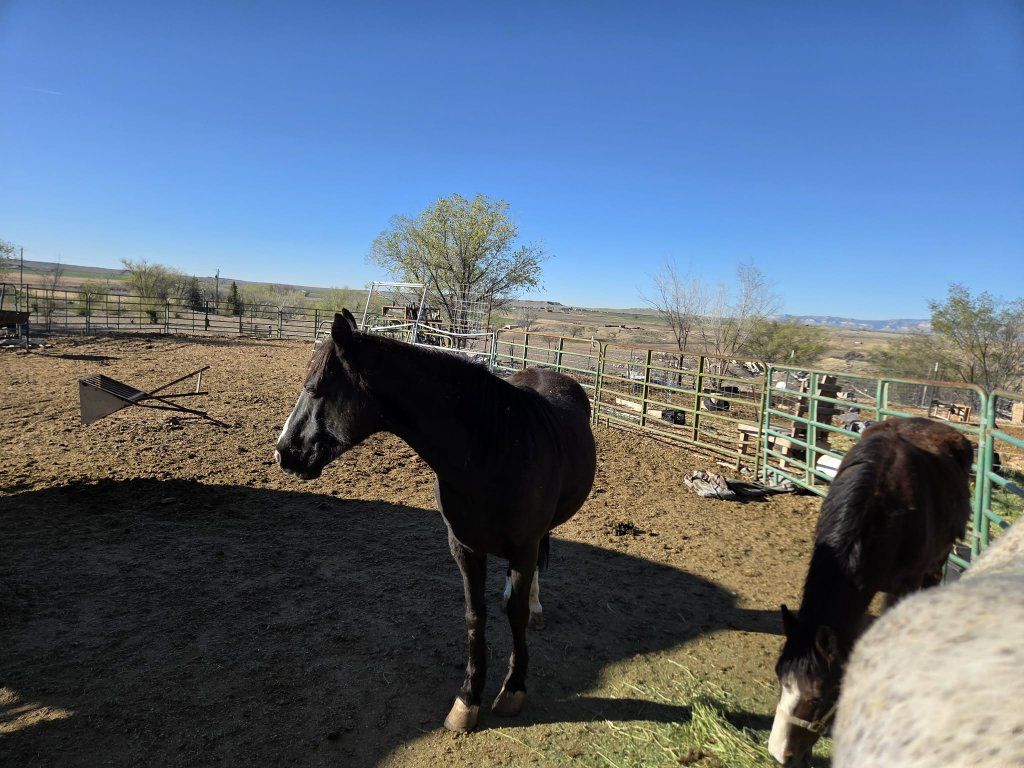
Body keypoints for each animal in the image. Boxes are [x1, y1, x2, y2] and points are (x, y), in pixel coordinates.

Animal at [274, 310, 597, 733]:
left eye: (314, 388)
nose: (282, 451)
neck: (491, 450)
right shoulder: (464, 546)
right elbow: (475, 616)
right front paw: (468, 700)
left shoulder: (523, 546)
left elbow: (516, 615)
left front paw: (513, 689)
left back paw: (535, 605)